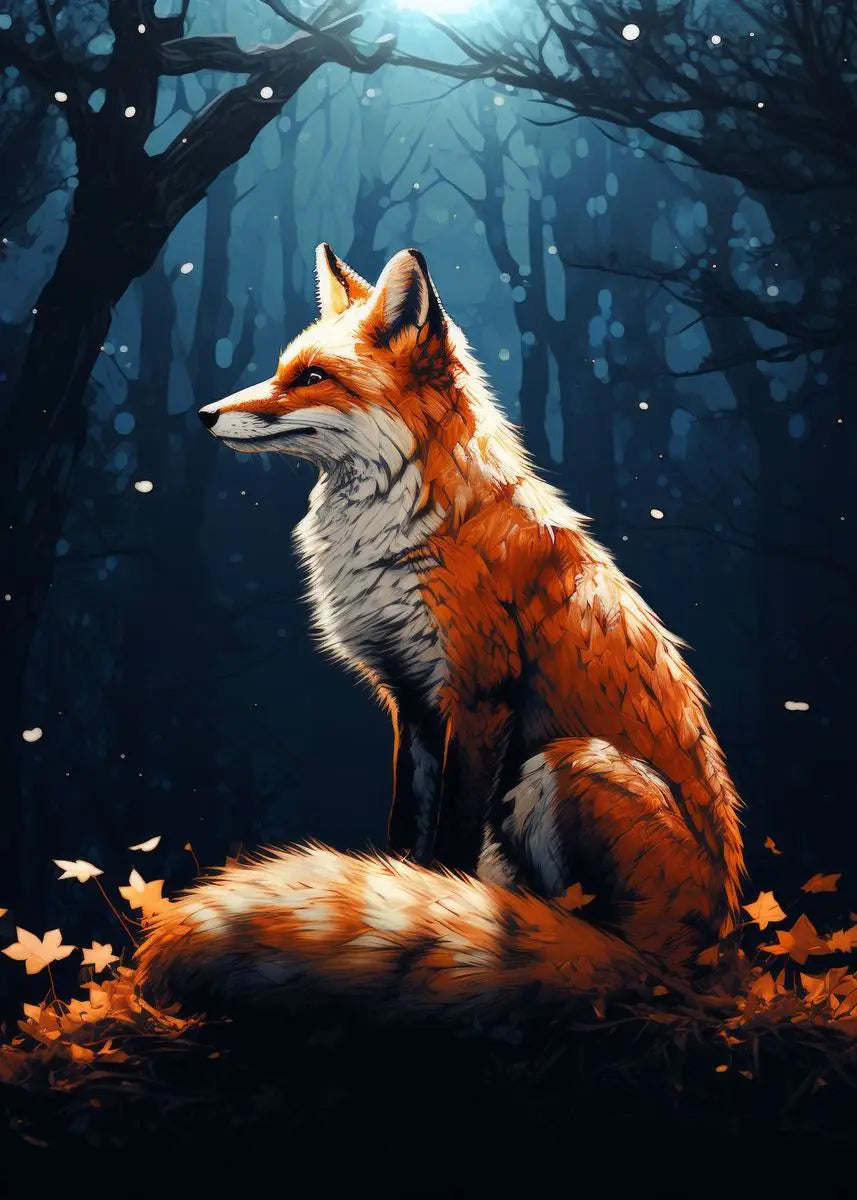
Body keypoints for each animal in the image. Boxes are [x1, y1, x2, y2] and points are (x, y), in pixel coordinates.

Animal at [137, 244, 744, 1020]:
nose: (206, 415)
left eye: (312, 377)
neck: (400, 535)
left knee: (598, 941)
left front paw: (443, 906)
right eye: (282, 369)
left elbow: (450, 835)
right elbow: (407, 831)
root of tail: (713, 946)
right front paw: (407, 891)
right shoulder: (412, 701)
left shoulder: (480, 695)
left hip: (566, 762)